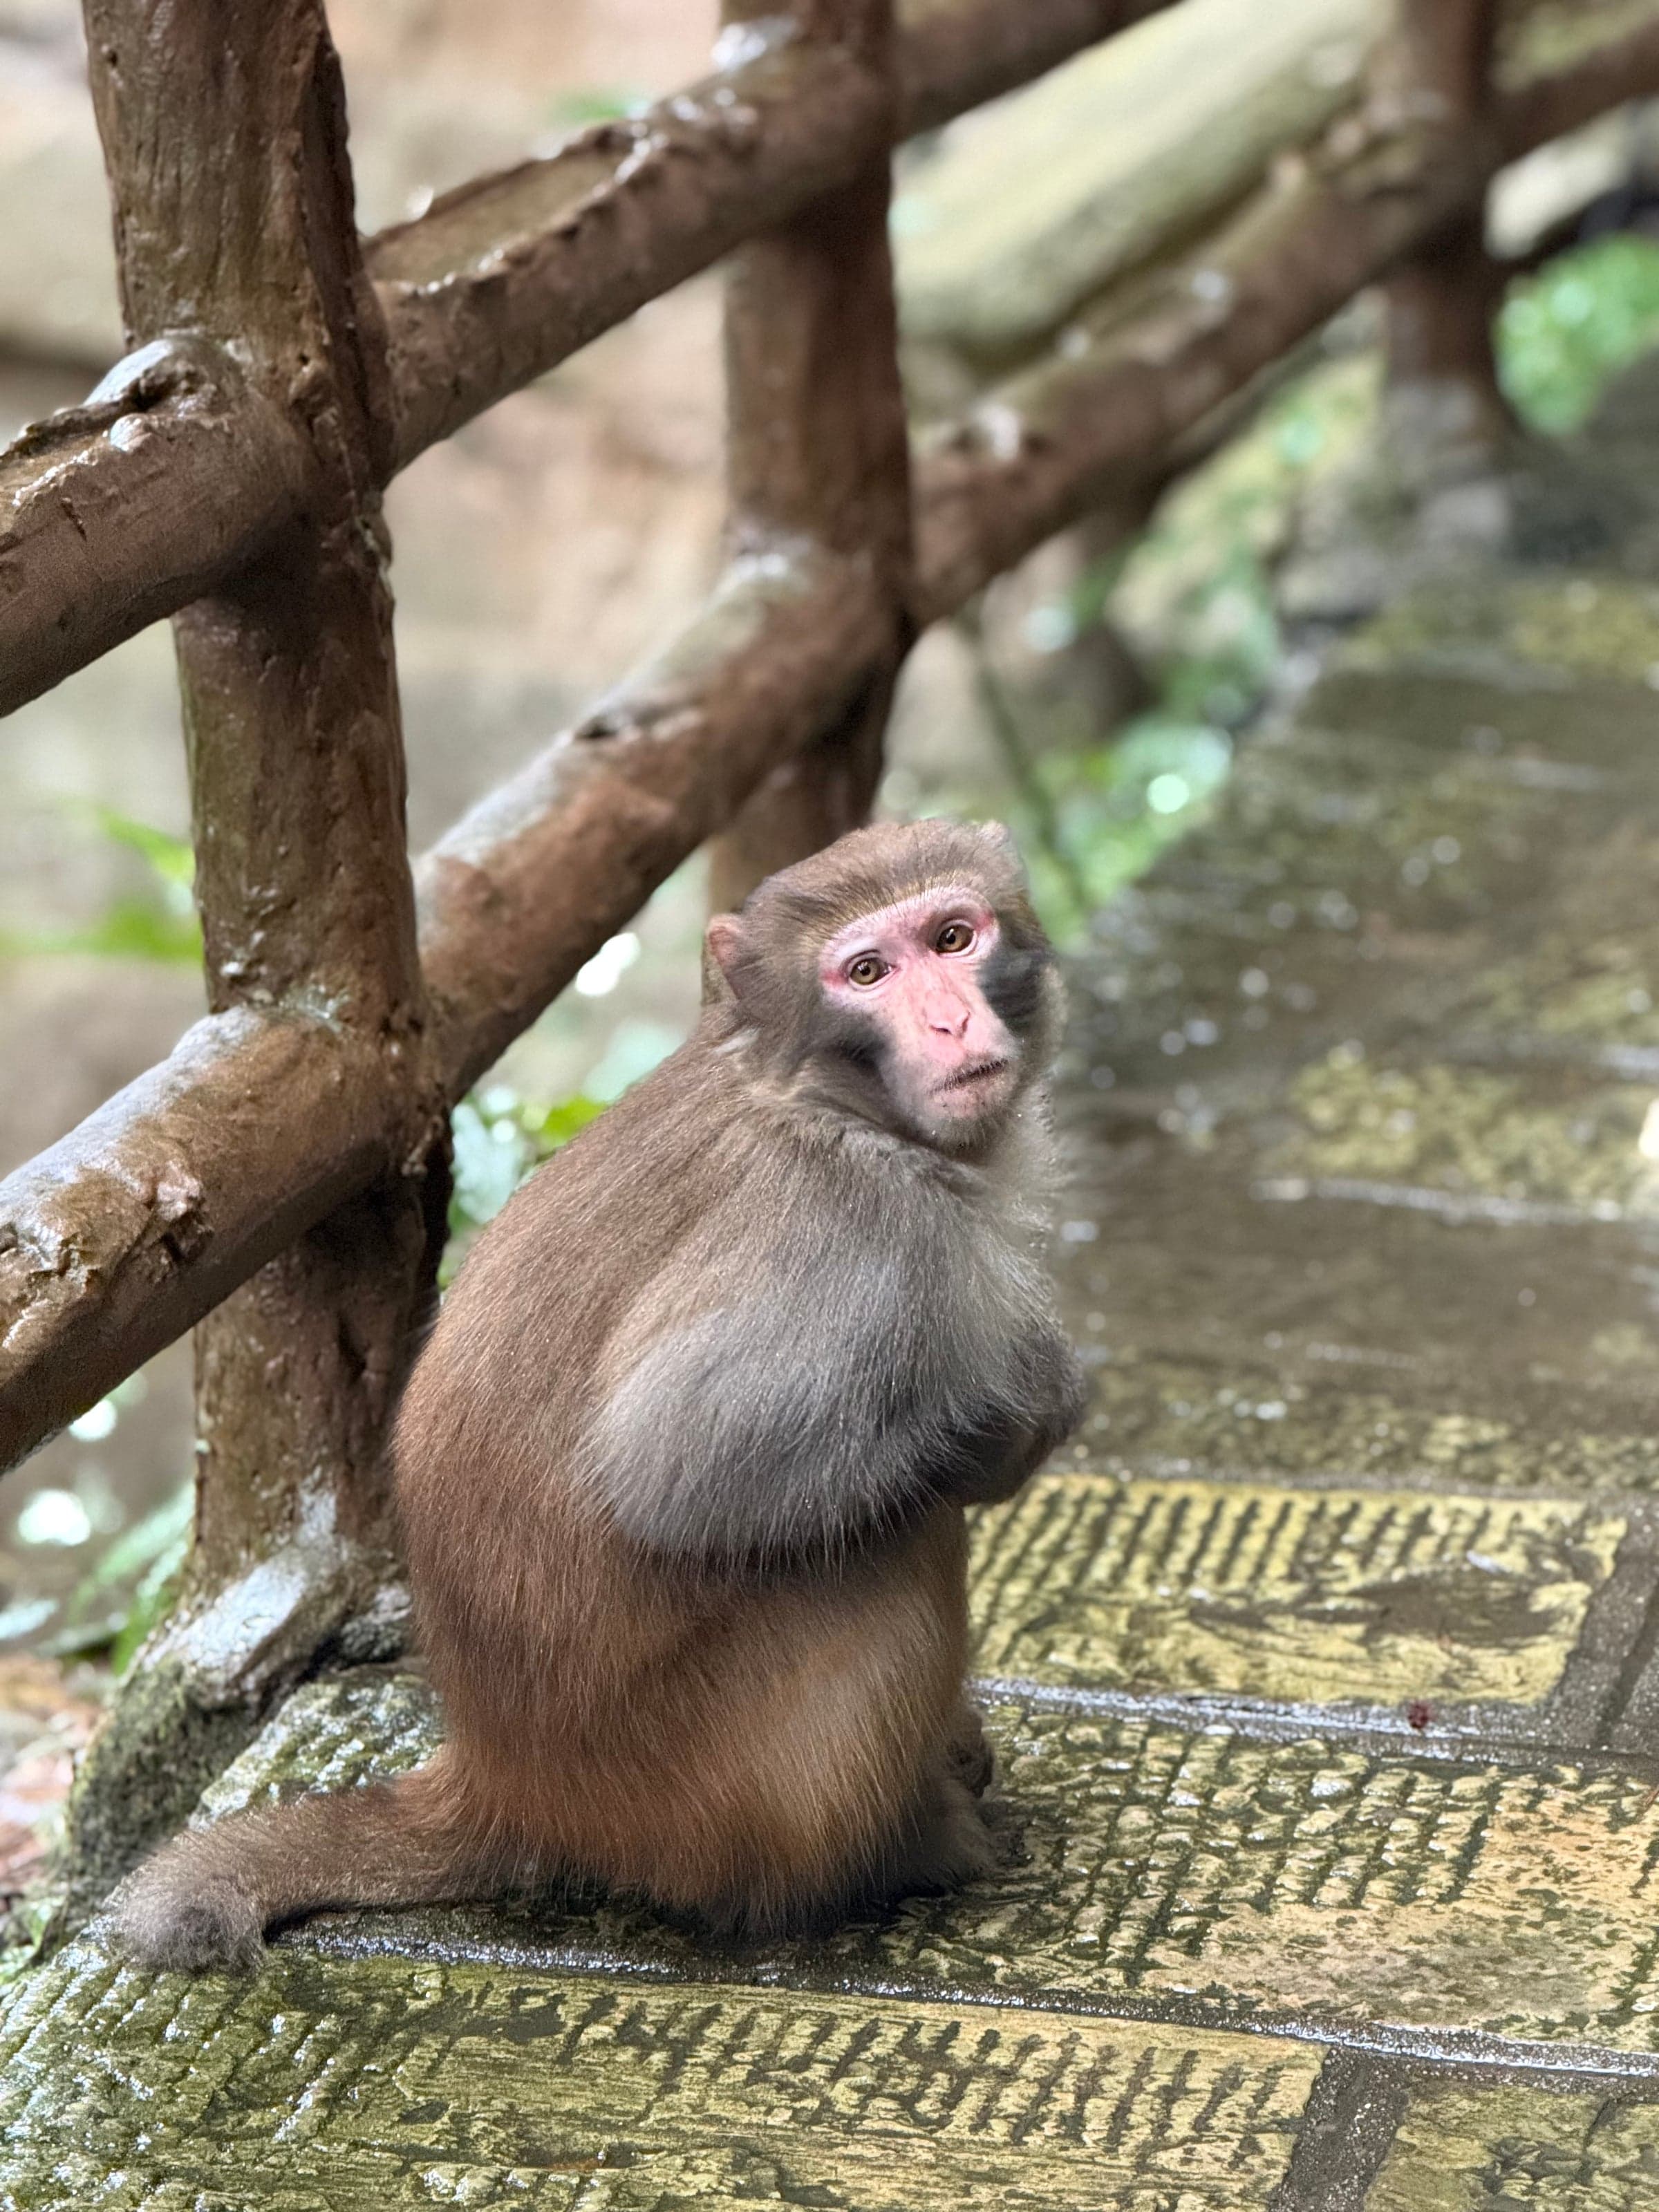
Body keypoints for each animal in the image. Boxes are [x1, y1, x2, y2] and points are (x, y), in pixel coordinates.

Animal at [111, 818, 1087, 1971]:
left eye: (952, 937)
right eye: (866, 974)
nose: (949, 1018)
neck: (824, 1102)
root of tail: (507, 1782)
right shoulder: (850, 1239)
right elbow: (679, 1472)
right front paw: (1016, 1420)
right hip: (715, 1796)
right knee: (896, 1534)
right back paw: (900, 1852)